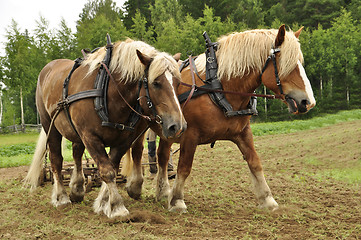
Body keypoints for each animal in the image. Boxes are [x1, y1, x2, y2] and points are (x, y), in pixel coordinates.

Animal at [23, 37, 186, 218]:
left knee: (77, 153)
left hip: (76, 131)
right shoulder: (90, 137)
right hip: (50, 126)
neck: (107, 91)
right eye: (156, 83)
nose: (177, 126)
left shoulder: (123, 139)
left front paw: (103, 202)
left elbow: (113, 167)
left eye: (178, 83)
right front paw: (116, 207)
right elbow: (107, 171)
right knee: (56, 159)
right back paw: (61, 197)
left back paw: (77, 189)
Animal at [124, 25, 316, 213]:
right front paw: (177, 201)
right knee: (138, 150)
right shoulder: (190, 135)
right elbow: (184, 167)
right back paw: (135, 186)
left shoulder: (243, 133)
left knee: (162, 155)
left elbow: (255, 162)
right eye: (288, 64)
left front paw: (267, 199)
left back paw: (163, 192)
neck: (219, 87)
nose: (308, 102)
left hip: (169, 128)